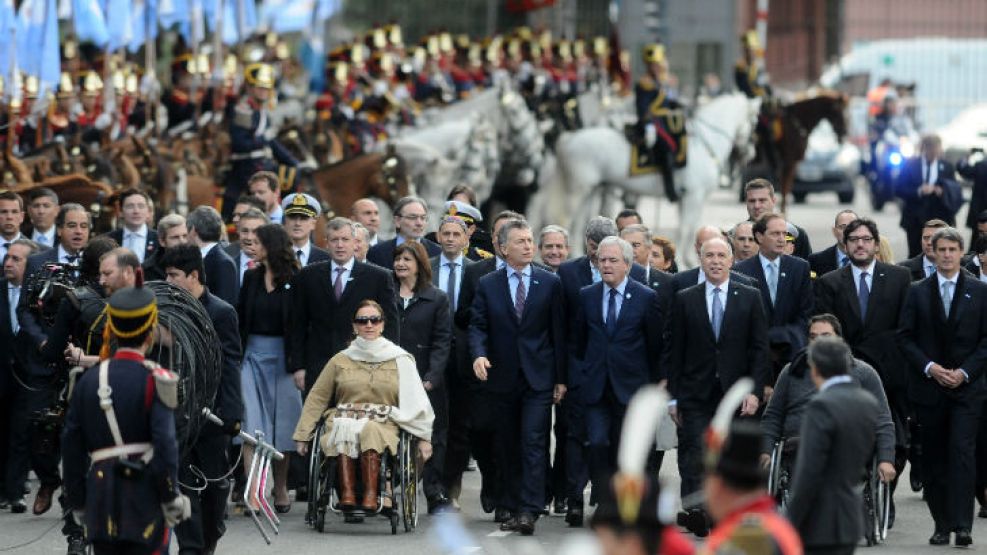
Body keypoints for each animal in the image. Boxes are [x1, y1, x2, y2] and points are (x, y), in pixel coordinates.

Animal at [544, 93, 760, 268]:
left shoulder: (691, 199)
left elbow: (691, 227)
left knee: (580, 222)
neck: (704, 144)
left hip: (591, 190)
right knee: (567, 220)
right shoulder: (693, 196)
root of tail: (569, 137)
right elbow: (685, 228)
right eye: (754, 119)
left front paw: (692, 257)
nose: (751, 152)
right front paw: (684, 260)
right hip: (577, 190)